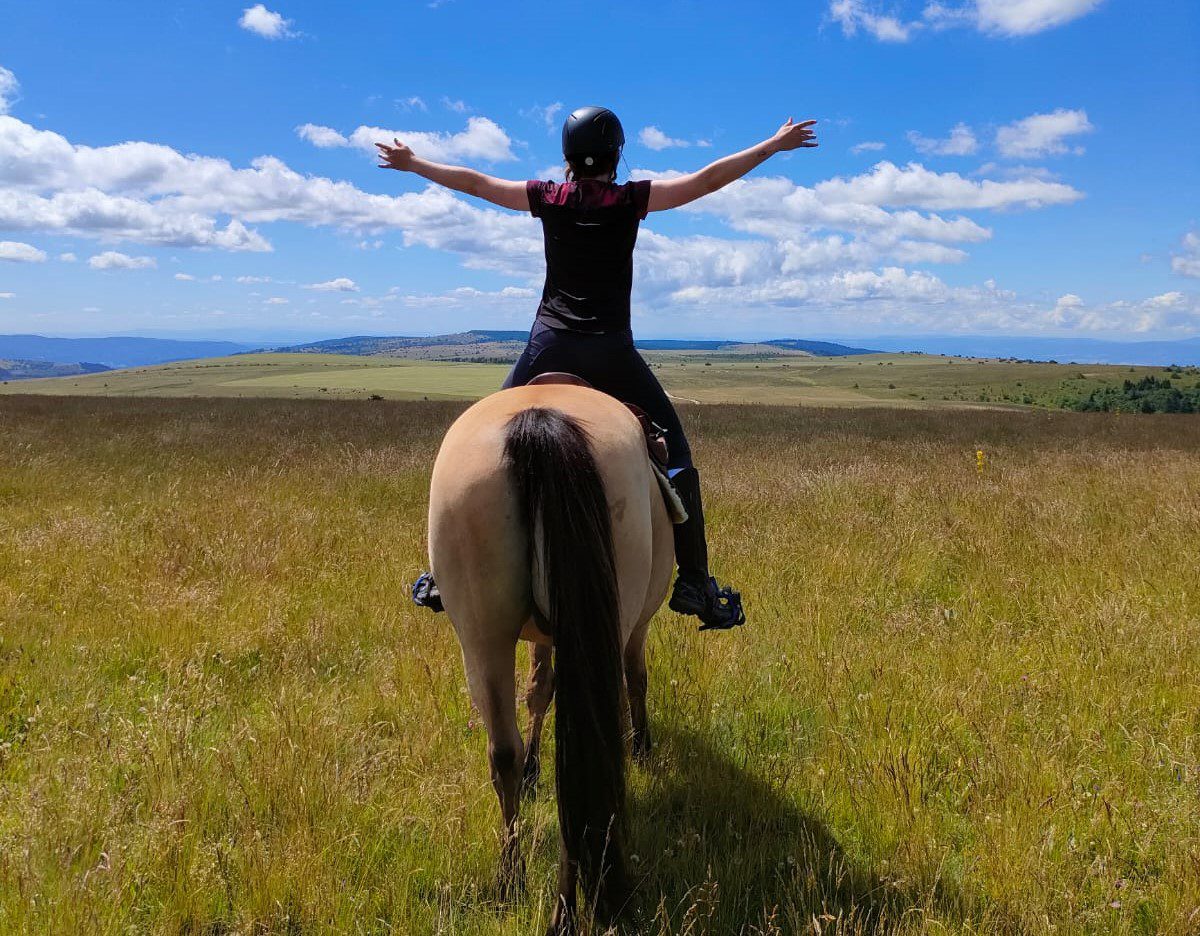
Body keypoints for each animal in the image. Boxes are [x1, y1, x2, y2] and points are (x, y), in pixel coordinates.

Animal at [429, 384, 676, 931]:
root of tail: (540, 422)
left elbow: (538, 694)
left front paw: (533, 768)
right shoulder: (633, 628)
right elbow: (635, 679)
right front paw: (642, 745)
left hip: (482, 636)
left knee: (504, 751)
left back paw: (511, 882)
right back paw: (565, 911)